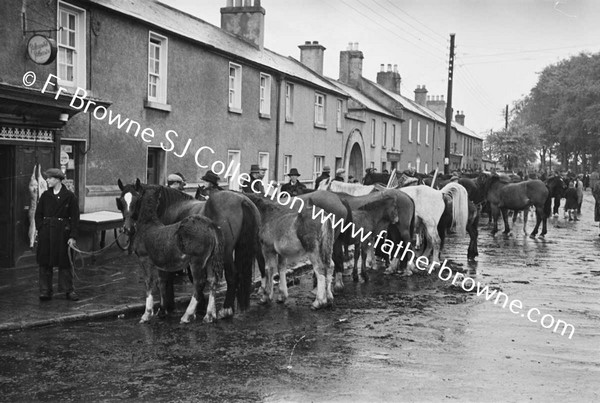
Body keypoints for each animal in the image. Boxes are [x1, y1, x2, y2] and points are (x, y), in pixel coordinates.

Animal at [129, 187, 225, 326]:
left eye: (136, 198)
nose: (128, 226)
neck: (148, 225)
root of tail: (210, 225)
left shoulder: (144, 259)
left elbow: (149, 283)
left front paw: (146, 314)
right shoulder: (161, 264)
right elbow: (162, 283)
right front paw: (162, 311)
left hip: (197, 261)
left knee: (199, 283)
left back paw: (187, 315)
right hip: (210, 260)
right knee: (212, 281)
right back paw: (209, 315)